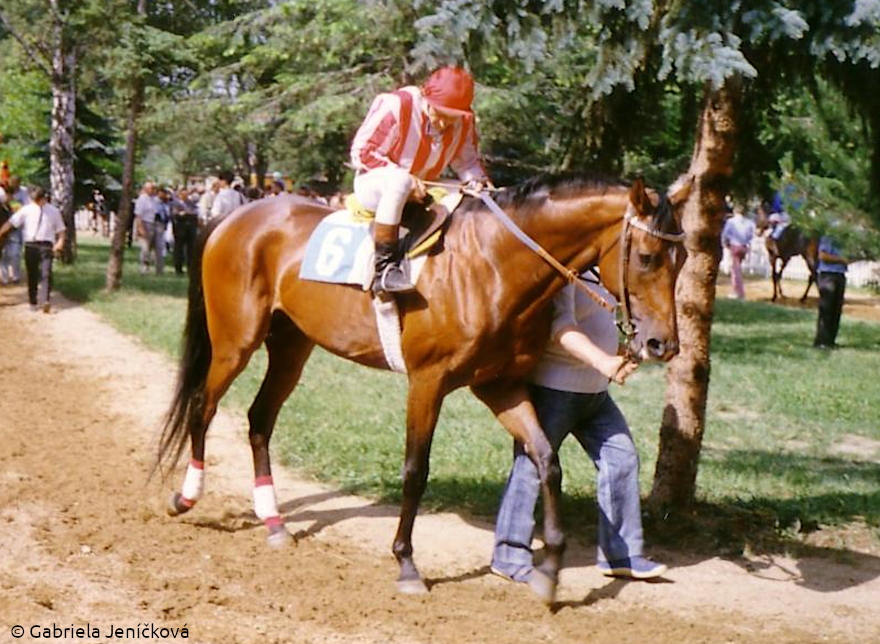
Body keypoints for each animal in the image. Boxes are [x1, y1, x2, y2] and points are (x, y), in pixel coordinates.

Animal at [156, 173, 691, 603]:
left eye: (684, 257)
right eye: (647, 258)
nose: (663, 343)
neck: (492, 264)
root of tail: (233, 216)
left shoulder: (500, 385)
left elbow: (546, 460)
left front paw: (550, 571)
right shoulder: (427, 382)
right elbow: (416, 471)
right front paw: (407, 564)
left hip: (291, 346)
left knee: (259, 419)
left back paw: (273, 522)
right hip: (235, 342)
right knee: (203, 405)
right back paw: (187, 496)